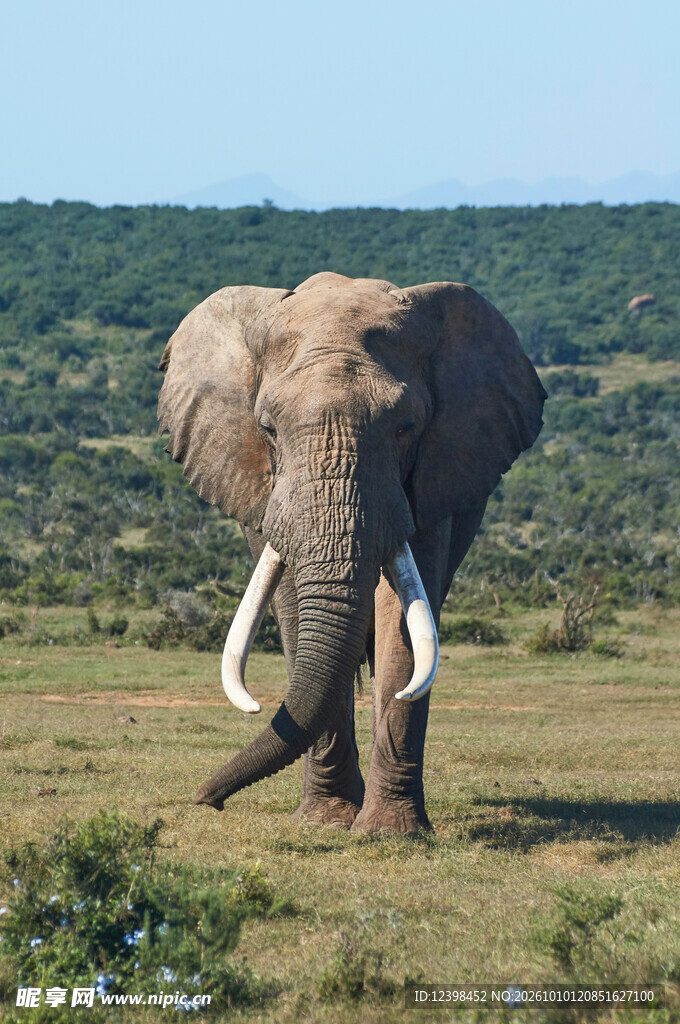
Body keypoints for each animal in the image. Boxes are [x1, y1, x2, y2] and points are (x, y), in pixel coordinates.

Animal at [158, 272, 546, 834]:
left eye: (406, 427)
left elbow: (401, 616)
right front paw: (324, 823)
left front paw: (391, 833)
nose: (207, 799)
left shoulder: (430, 480)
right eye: (268, 428)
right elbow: (293, 606)